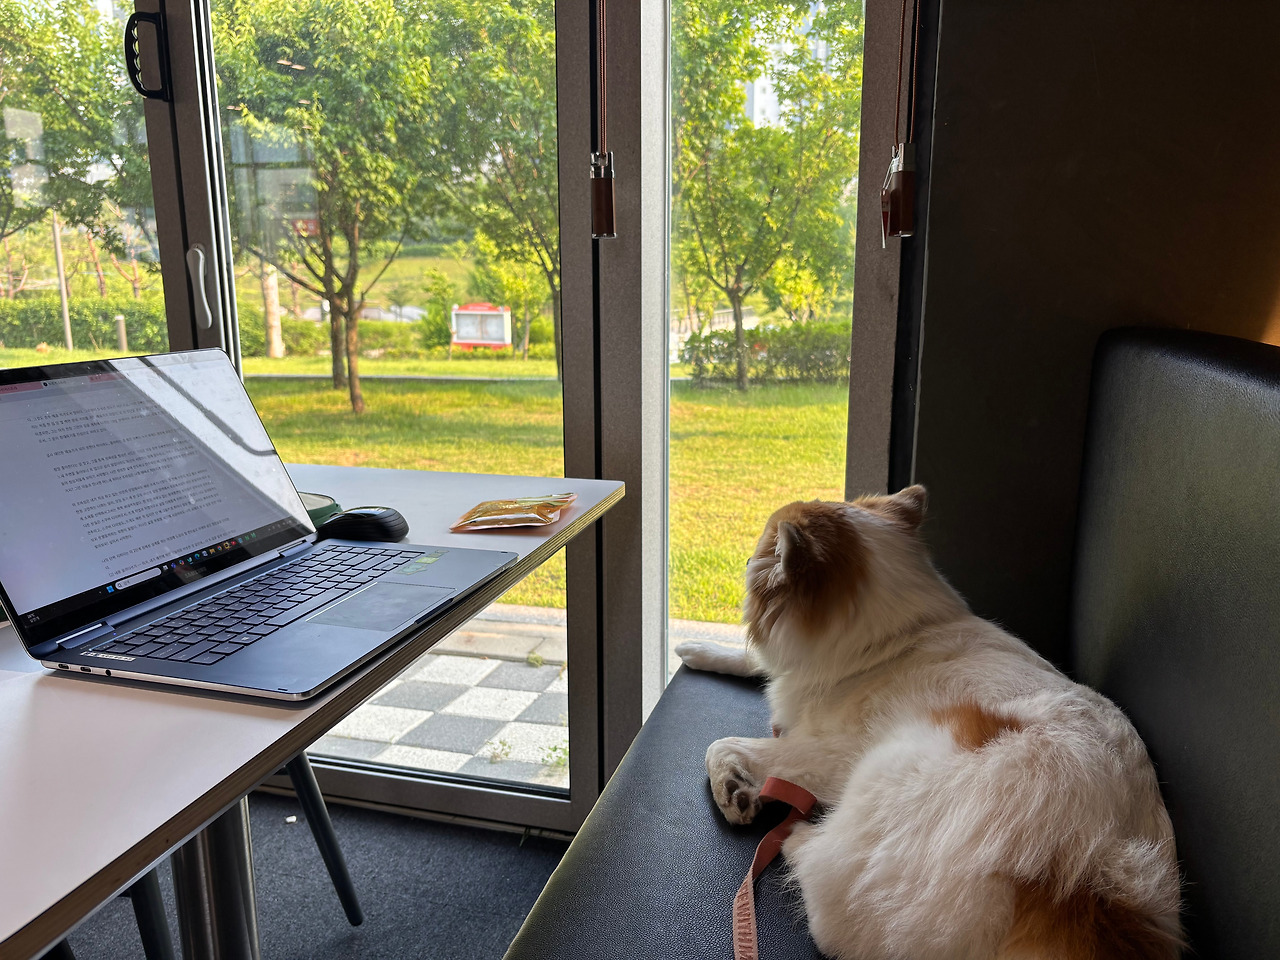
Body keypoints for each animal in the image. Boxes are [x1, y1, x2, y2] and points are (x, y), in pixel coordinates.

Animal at [675, 486, 1183, 960]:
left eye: (762, 549)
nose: (746, 557)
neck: (892, 641)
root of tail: (1091, 883)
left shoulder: (829, 751)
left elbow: (721, 745)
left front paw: (733, 788)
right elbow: (754, 664)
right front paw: (700, 649)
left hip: (891, 769)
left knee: (833, 903)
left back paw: (800, 839)